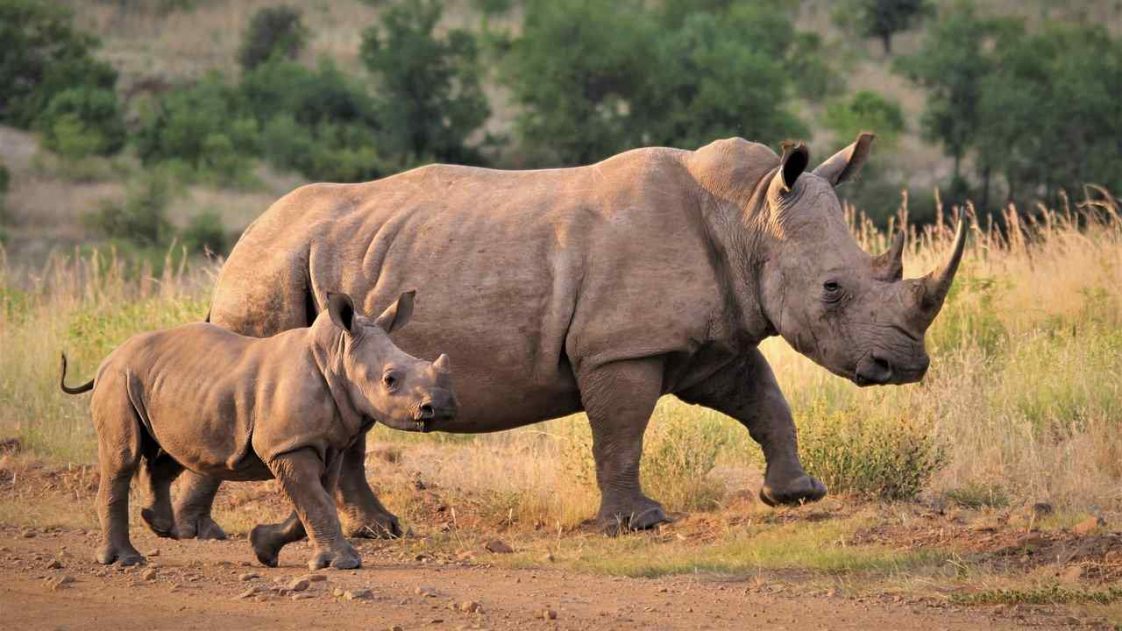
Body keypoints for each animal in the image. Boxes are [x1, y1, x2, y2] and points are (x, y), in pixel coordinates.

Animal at [60, 291, 457, 568]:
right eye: (390, 380)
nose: (443, 407)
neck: (337, 357)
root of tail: (108, 358)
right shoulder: (289, 445)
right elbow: (316, 502)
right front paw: (346, 563)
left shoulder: (324, 444)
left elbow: (313, 502)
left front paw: (263, 548)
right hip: (118, 380)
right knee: (123, 458)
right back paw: (126, 560)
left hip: (164, 384)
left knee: (173, 451)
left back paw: (160, 526)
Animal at [169, 132, 965, 537]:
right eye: (833, 288)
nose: (905, 364)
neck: (747, 216)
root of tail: (245, 235)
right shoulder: (622, 346)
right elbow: (621, 432)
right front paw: (637, 524)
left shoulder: (712, 340)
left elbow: (766, 401)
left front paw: (797, 494)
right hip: (272, 269)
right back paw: (194, 533)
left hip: (323, 268)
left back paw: (380, 531)